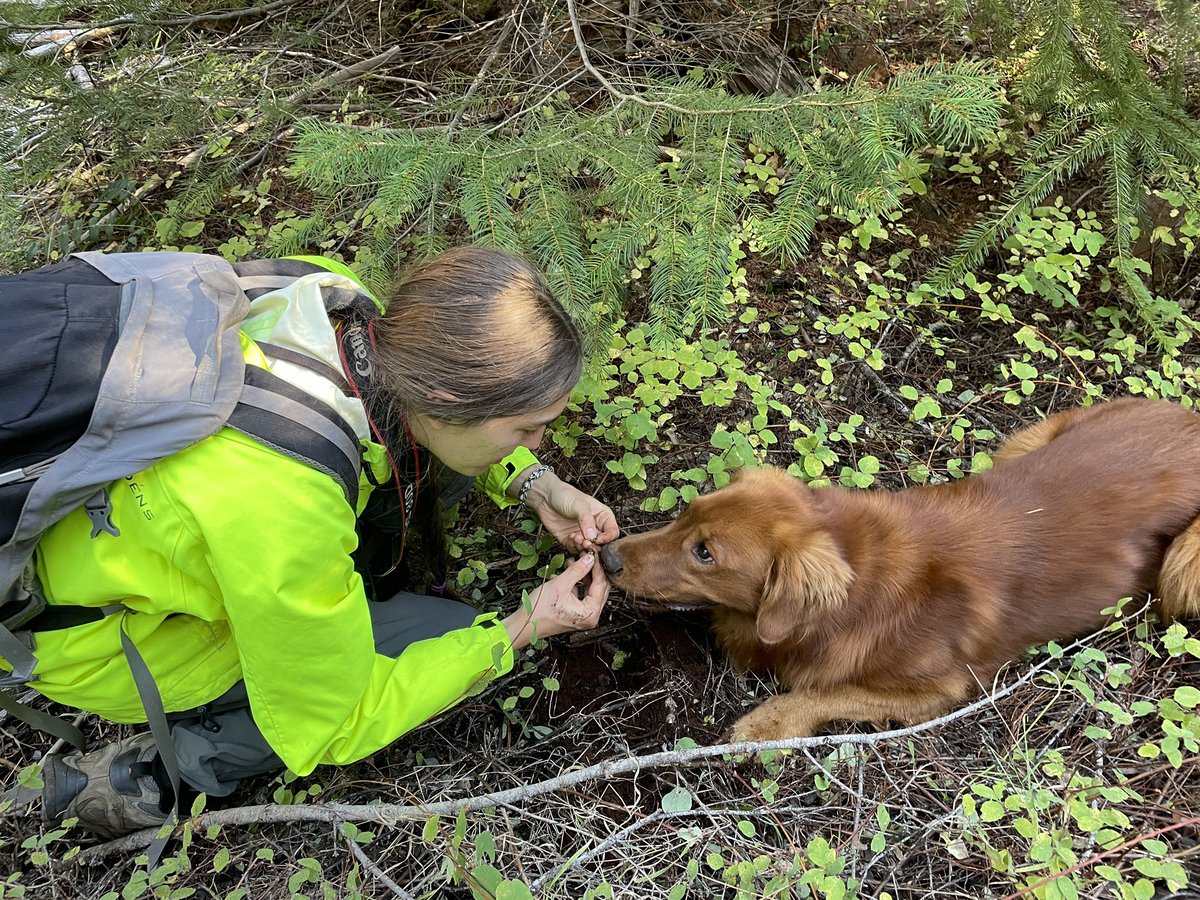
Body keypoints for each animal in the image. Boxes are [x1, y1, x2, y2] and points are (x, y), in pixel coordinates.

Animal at [604, 400, 1200, 739]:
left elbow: (823, 692)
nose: (607, 557)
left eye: (705, 553)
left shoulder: (940, 690)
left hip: (1182, 564)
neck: (859, 584)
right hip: (1030, 440)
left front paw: (765, 726)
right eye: (686, 513)